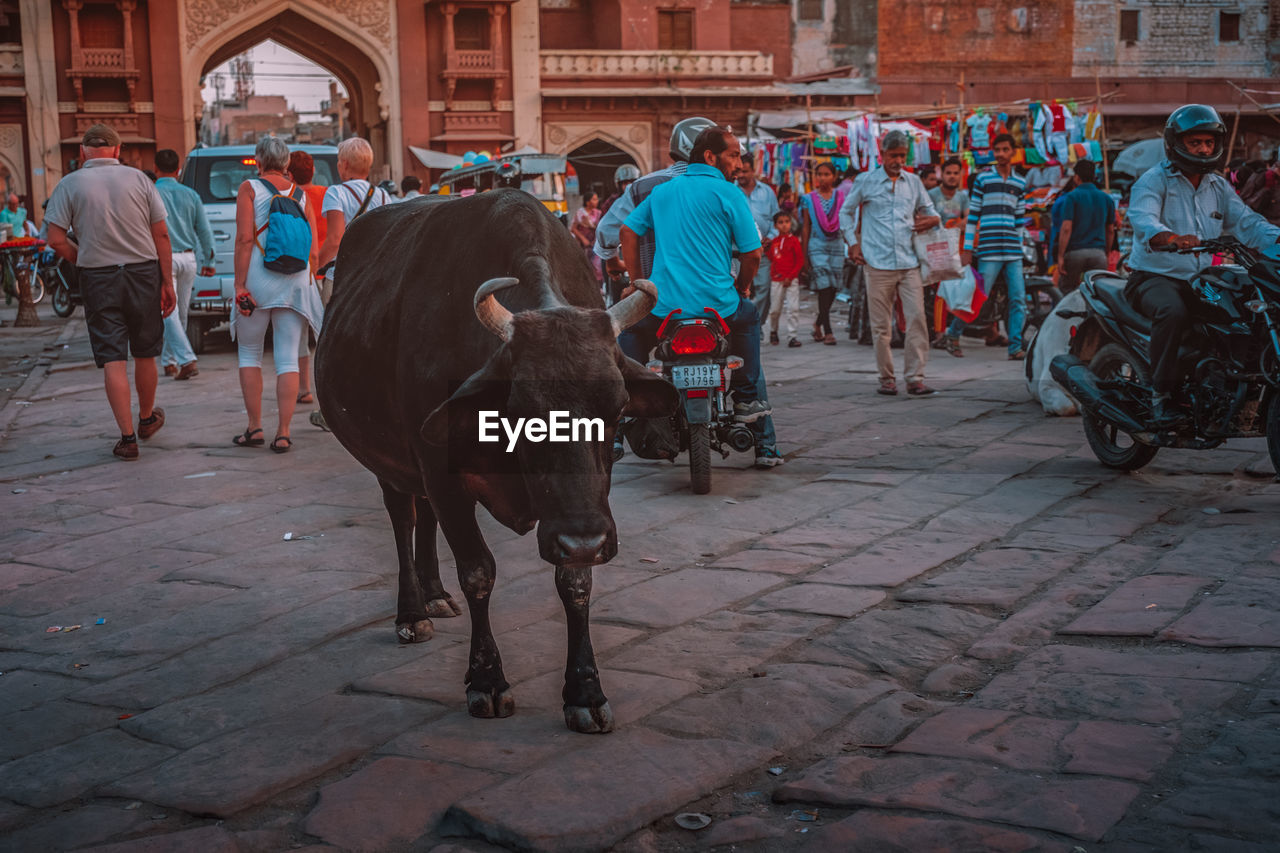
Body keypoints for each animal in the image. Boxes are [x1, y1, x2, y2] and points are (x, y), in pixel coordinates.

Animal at [313, 188, 675, 732]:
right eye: (523, 411)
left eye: (615, 411)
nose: (585, 540)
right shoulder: (440, 468)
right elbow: (478, 571)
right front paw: (486, 680)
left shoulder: (585, 503)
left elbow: (575, 579)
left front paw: (585, 691)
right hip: (389, 457)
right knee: (403, 516)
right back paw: (413, 612)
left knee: (424, 518)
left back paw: (435, 595)